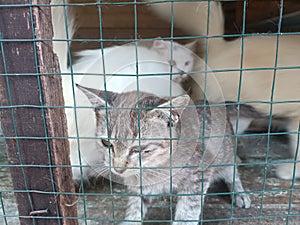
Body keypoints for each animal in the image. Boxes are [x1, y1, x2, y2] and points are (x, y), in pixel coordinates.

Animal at [77, 85, 251, 225]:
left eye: (138, 148)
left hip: (225, 154)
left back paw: (239, 193)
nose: (118, 169)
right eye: (106, 143)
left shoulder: (199, 174)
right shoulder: (138, 187)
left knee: (232, 171)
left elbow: (188, 211)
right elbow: (135, 207)